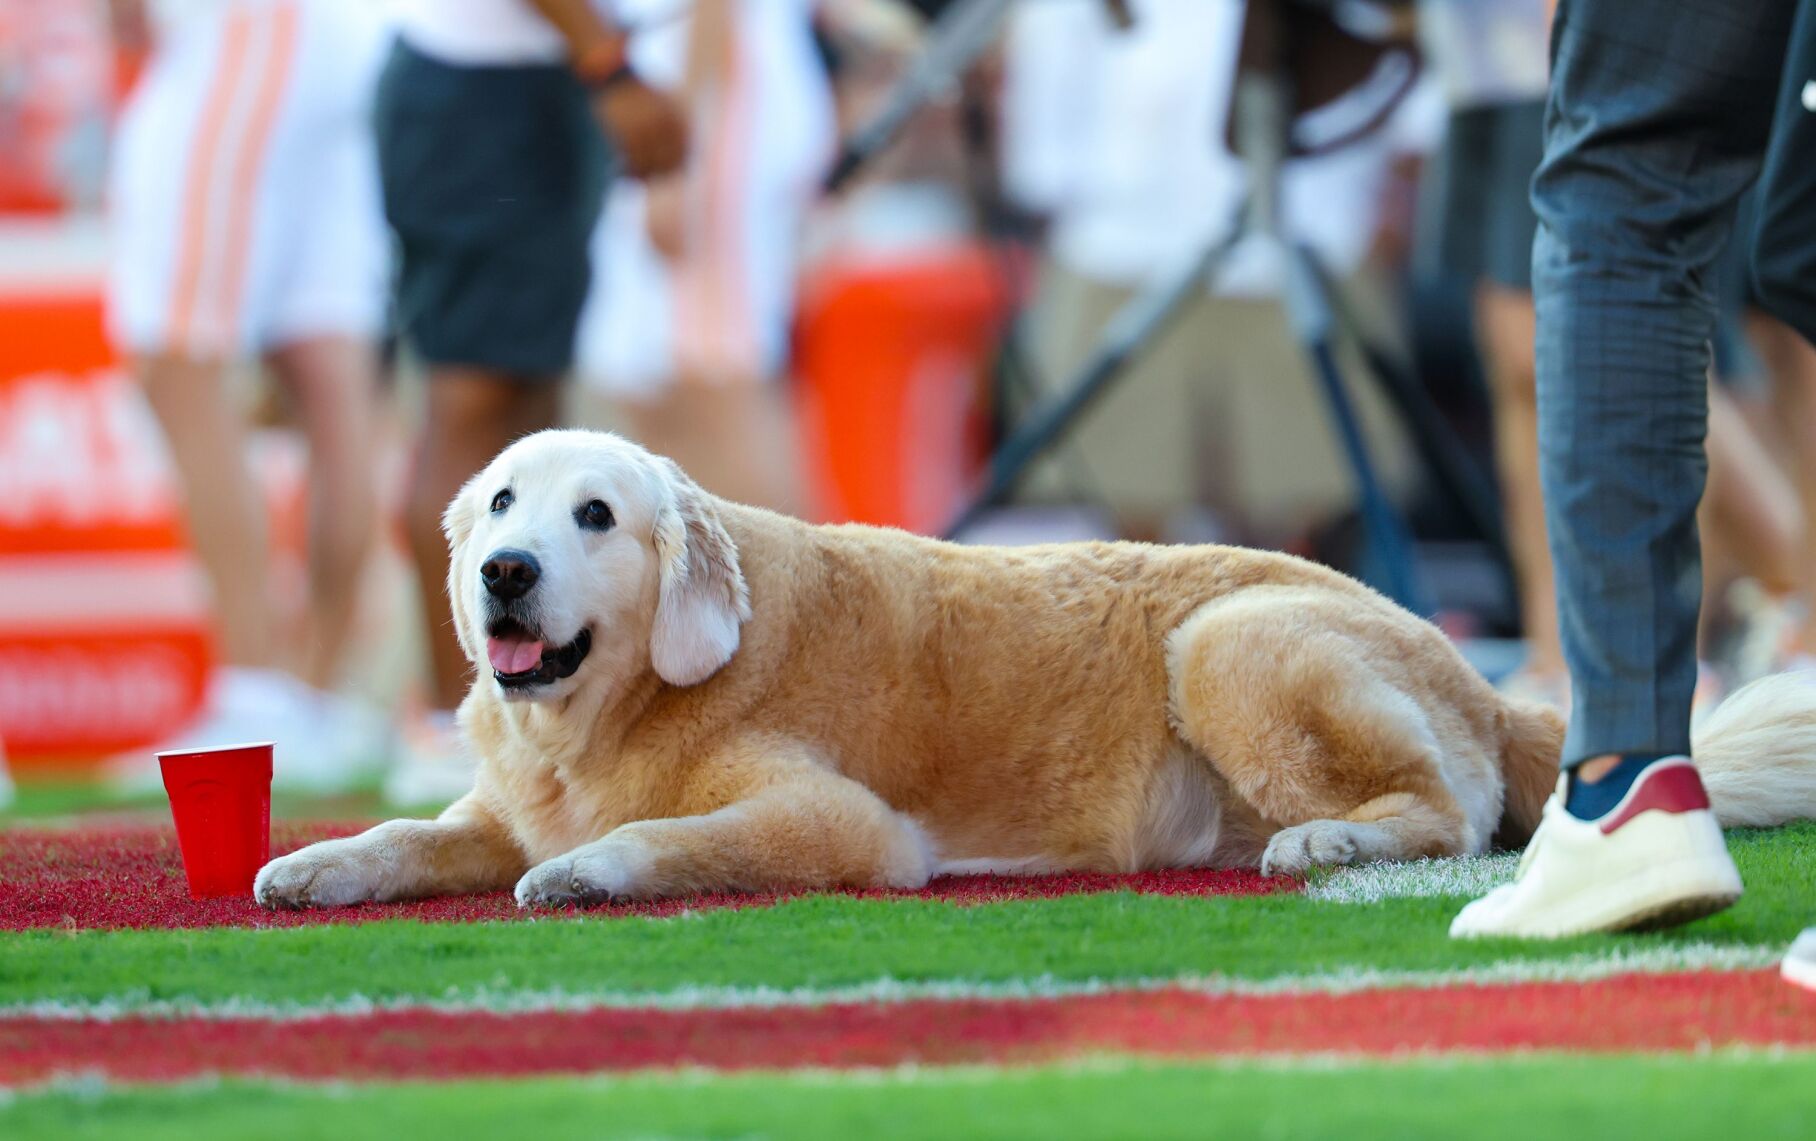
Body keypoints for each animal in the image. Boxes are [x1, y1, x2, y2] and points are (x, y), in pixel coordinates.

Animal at [252, 428, 1816, 908]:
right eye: (503, 505)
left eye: (596, 516)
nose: (504, 573)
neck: (611, 706)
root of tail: (1498, 682)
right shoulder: (496, 804)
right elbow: (412, 834)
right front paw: (318, 860)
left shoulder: (839, 823)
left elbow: (668, 838)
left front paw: (587, 869)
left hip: (1228, 638)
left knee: (1452, 809)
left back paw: (1327, 841)